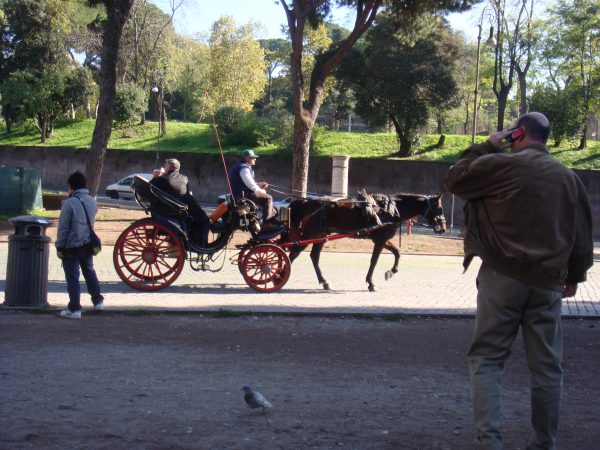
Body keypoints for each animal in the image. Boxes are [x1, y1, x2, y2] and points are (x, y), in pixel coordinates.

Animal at [286, 192, 446, 292]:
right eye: (439, 208)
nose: (443, 227)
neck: (391, 209)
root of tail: (306, 201)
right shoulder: (380, 240)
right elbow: (374, 261)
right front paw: (371, 283)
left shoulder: (383, 239)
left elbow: (397, 252)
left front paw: (391, 271)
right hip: (310, 234)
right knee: (293, 253)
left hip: (321, 235)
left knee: (314, 256)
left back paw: (324, 281)